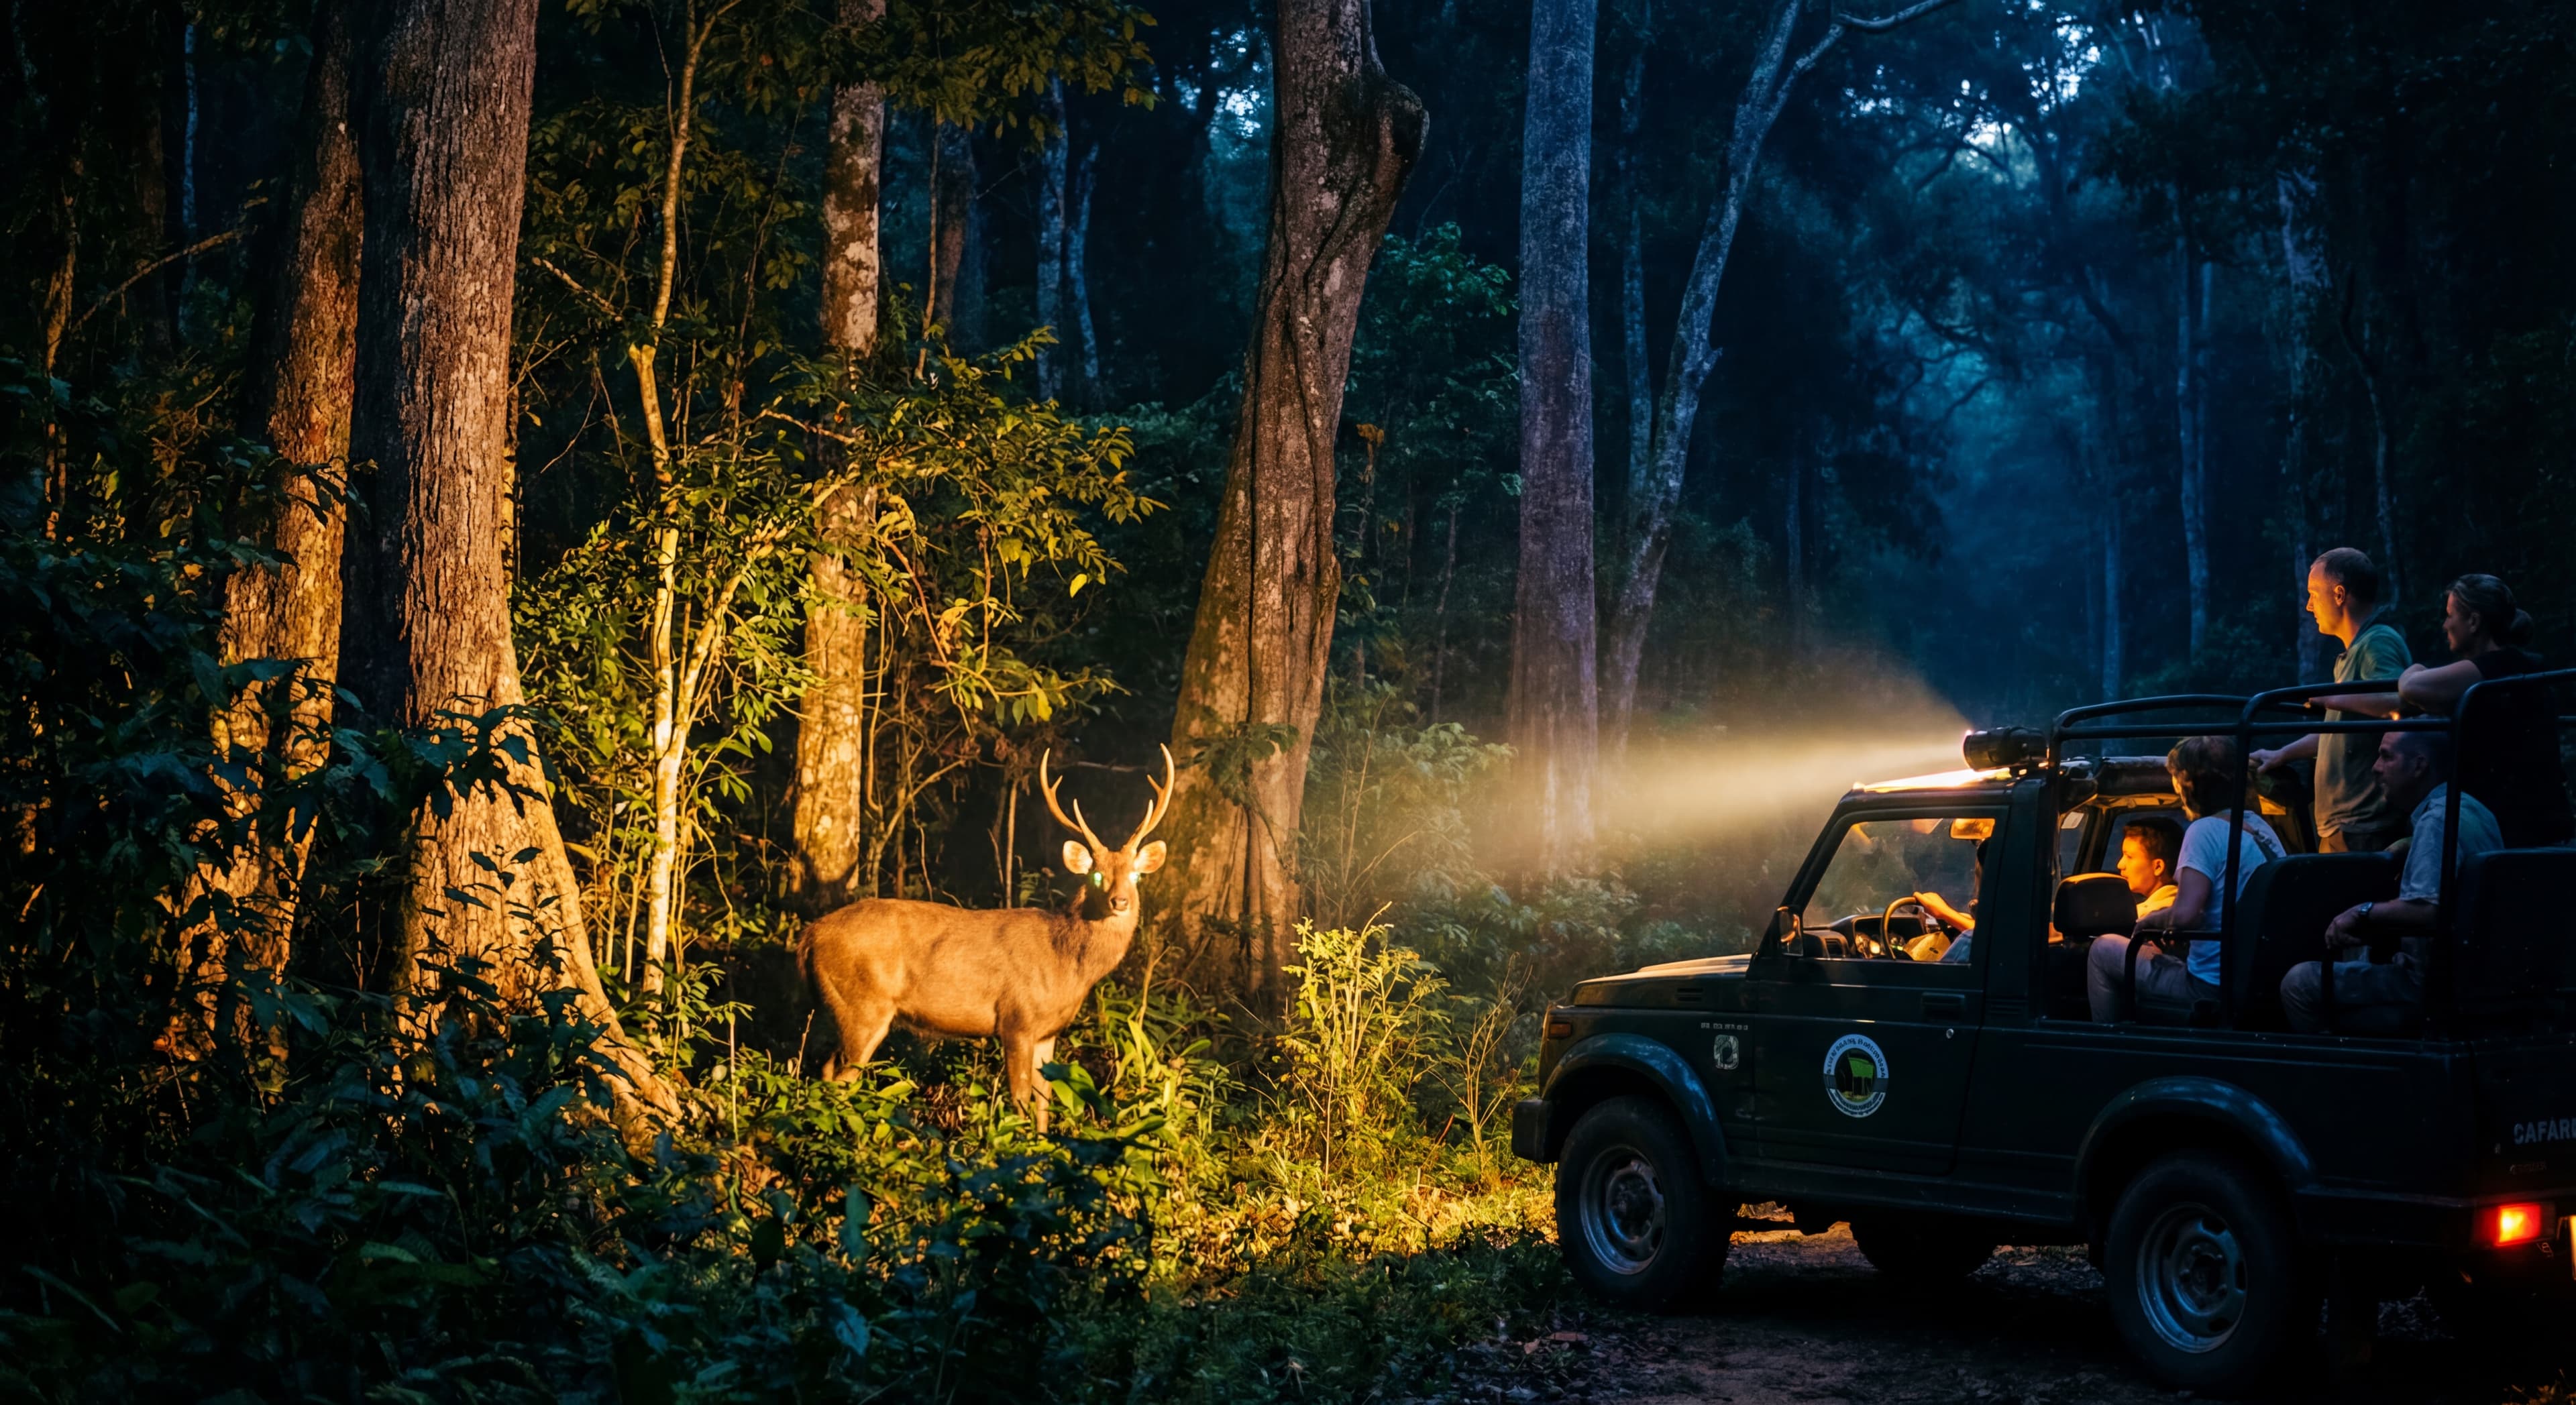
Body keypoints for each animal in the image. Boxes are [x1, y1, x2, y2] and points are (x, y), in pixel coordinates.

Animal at [796, 745, 1173, 1130]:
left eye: (1136, 876)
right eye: (1097, 876)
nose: (1120, 901)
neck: (1066, 965)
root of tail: (809, 936)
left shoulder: (1048, 1032)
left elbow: (1043, 1103)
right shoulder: (1017, 1019)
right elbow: (1020, 1100)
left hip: (842, 1007)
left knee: (825, 1069)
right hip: (864, 1005)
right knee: (841, 1078)